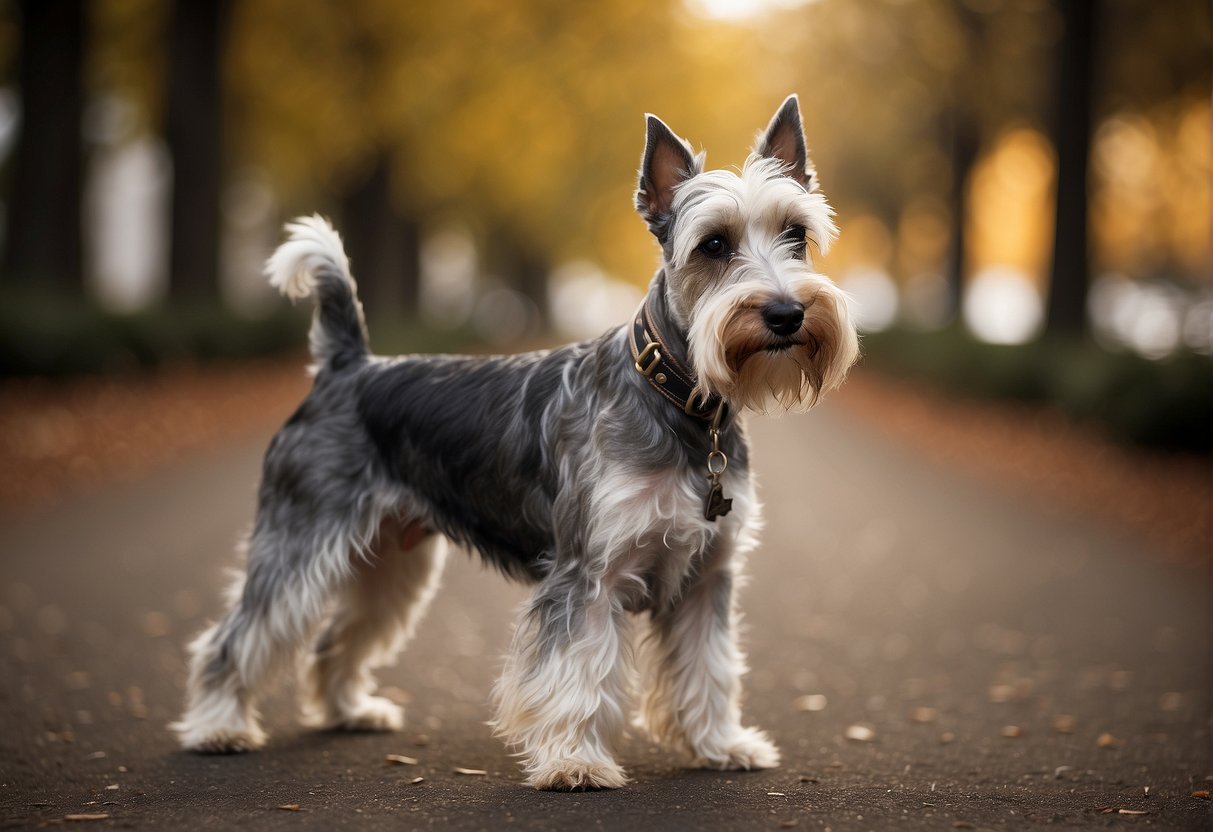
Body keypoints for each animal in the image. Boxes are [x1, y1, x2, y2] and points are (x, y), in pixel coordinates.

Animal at [175, 94, 863, 790]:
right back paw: (218, 727)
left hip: (391, 563)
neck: (682, 404)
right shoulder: (588, 575)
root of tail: (345, 367)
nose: (786, 313)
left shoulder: (707, 581)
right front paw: (576, 761)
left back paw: (349, 710)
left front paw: (721, 744)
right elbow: (579, 671)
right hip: (299, 544)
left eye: (796, 235)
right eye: (715, 244)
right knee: (238, 636)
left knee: (337, 637)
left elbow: (711, 670)